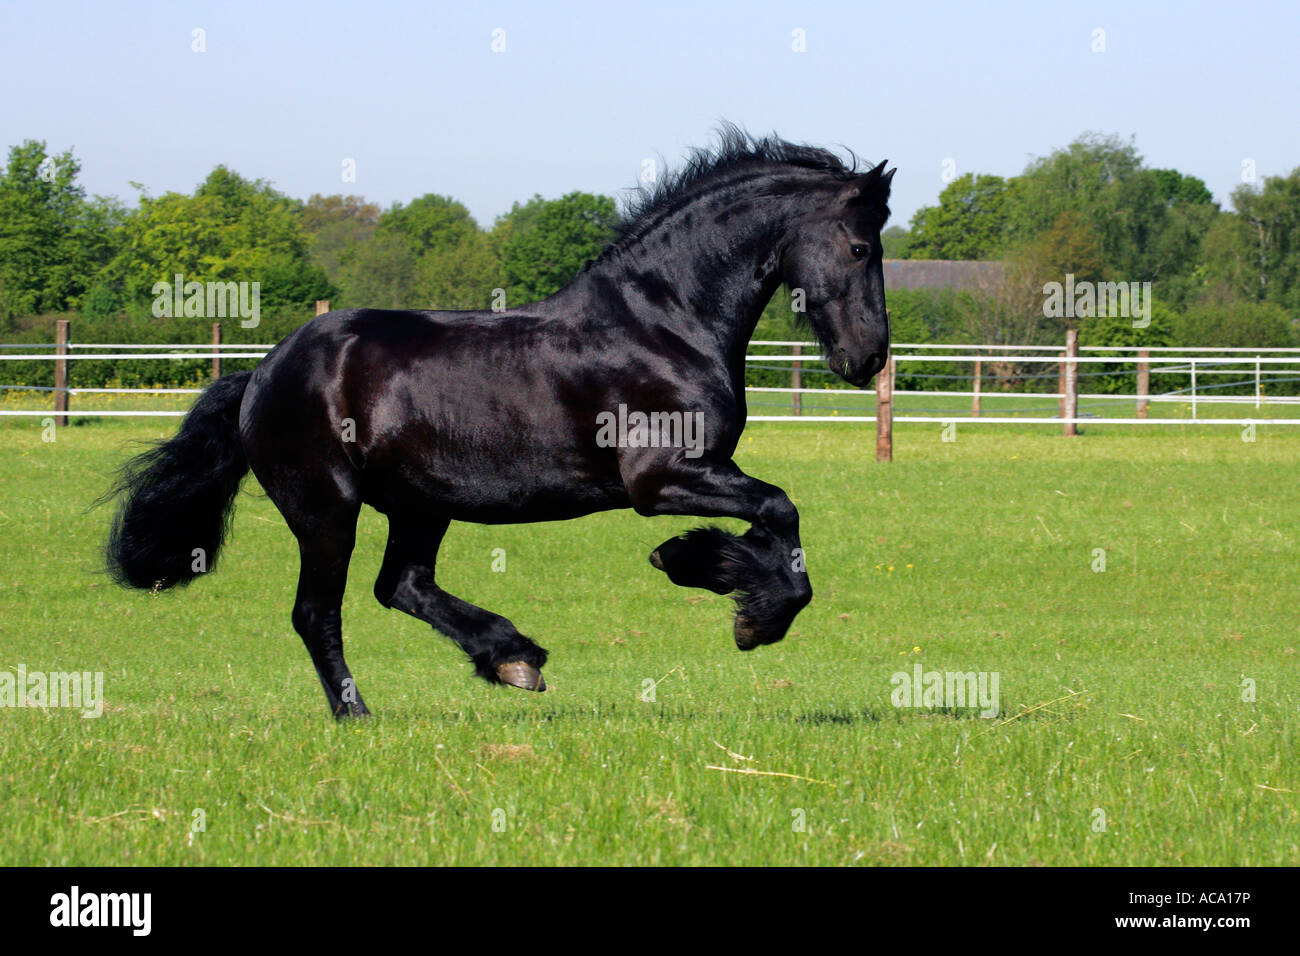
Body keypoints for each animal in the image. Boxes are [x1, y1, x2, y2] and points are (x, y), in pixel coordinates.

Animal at [104, 127, 894, 712]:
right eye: (861, 247)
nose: (867, 358)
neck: (664, 324)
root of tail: (263, 373)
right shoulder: (662, 478)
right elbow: (781, 510)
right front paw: (744, 606)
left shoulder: (699, 472)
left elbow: (770, 522)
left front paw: (709, 565)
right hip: (326, 508)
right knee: (317, 612)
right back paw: (361, 714)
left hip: (419, 505)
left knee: (401, 587)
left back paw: (514, 658)